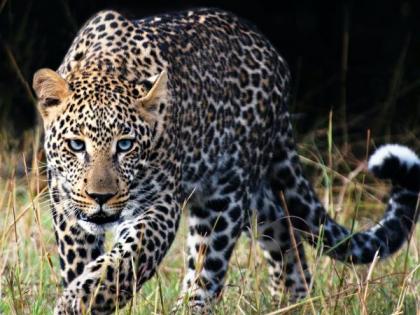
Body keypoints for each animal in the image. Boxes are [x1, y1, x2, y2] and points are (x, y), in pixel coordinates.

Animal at [32, 7, 420, 315]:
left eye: (125, 145)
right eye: (76, 145)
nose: (101, 197)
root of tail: (274, 59)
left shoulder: (159, 204)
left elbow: (125, 261)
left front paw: (78, 301)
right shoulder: (66, 204)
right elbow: (82, 261)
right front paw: (80, 296)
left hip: (225, 197)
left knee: (207, 272)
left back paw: (192, 308)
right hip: (258, 203)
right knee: (286, 239)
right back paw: (289, 304)